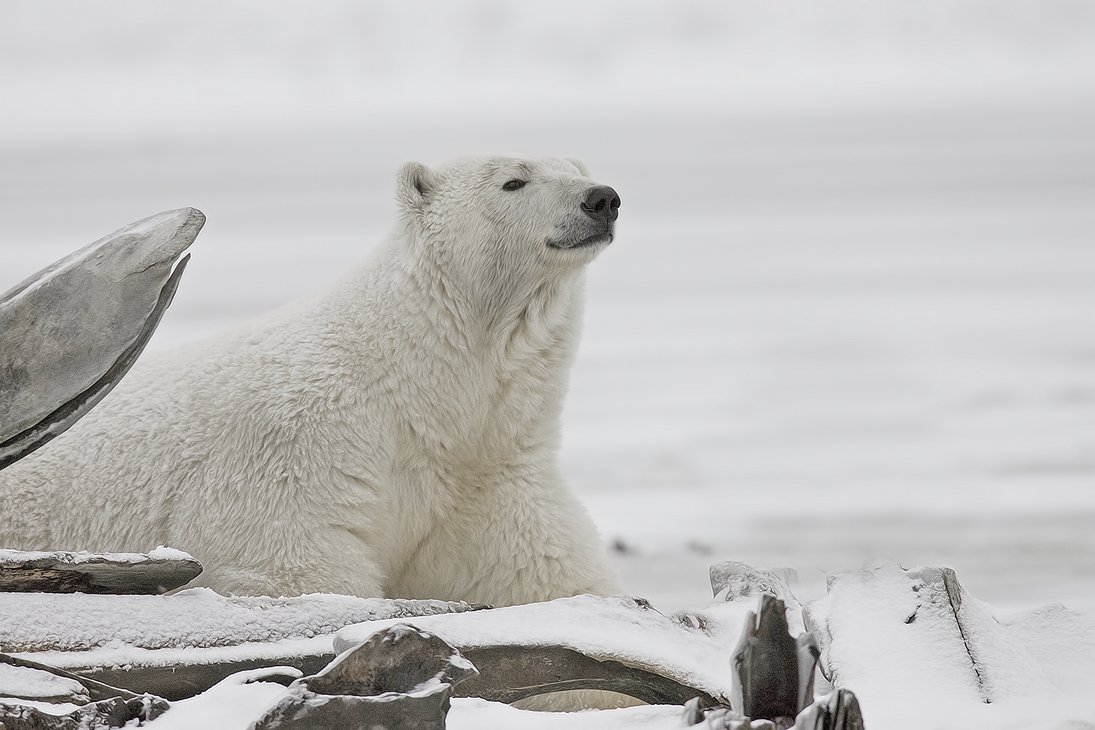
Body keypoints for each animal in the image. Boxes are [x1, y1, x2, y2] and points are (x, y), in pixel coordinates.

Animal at [2, 154, 626, 604]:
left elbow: (540, 570)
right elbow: (290, 568)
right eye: (513, 181)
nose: (603, 199)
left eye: (576, 169)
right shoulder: (297, 445)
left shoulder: (487, 468)